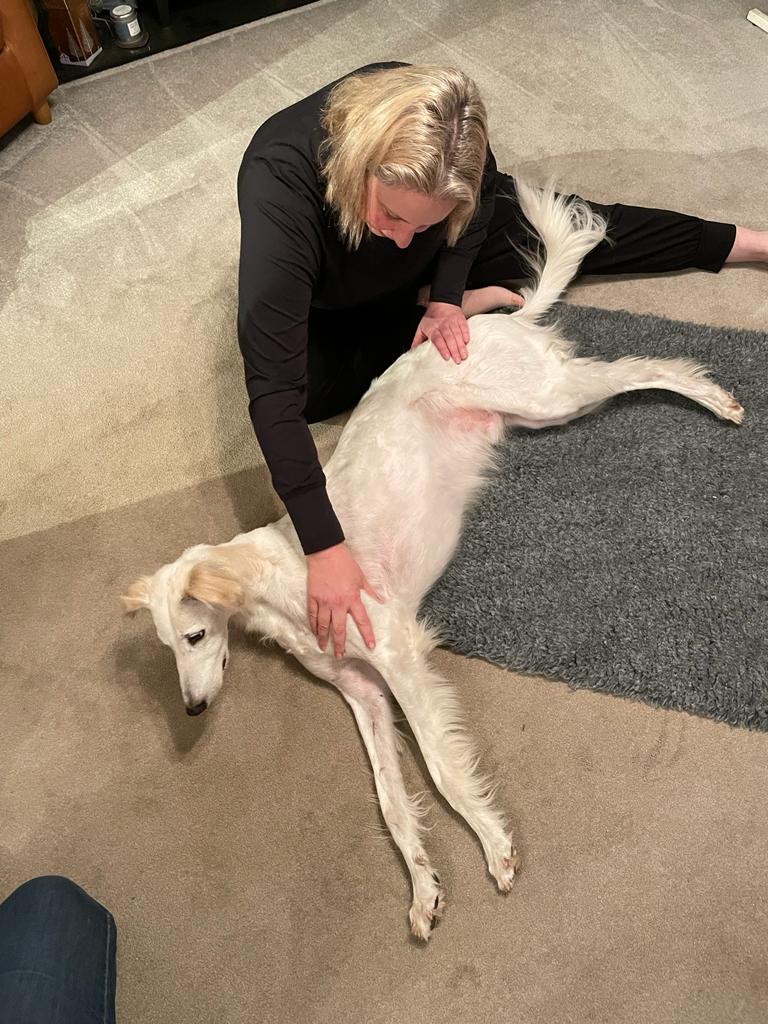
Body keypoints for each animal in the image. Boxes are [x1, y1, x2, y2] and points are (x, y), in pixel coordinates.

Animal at [123, 182, 743, 940]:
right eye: (167, 646)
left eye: (195, 635)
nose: (191, 709)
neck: (286, 579)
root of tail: (495, 322)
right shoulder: (362, 693)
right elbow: (393, 806)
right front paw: (424, 888)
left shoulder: (398, 654)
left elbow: (442, 769)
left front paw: (496, 844)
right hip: (542, 411)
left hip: (549, 397)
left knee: (648, 366)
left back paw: (717, 399)